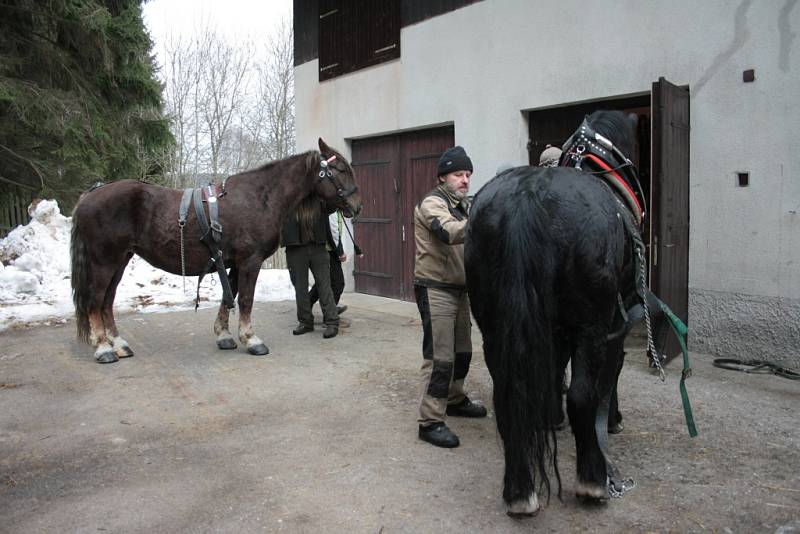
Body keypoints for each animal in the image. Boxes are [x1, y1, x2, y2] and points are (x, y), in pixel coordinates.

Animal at [72, 139, 362, 364]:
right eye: (338, 169)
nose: (357, 206)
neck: (260, 198)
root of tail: (90, 195)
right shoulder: (250, 261)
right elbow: (245, 299)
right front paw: (251, 339)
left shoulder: (231, 262)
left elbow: (228, 295)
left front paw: (224, 336)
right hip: (104, 261)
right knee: (95, 301)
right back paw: (103, 349)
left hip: (120, 260)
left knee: (107, 301)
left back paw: (119, 344)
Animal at [466, 111, 648, 516]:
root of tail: (527, 196)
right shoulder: (614, 327)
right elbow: (607, 380)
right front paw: (612, 420)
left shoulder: (553, 329)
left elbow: (550, 373)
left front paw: (550, 416)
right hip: (592, 327)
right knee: (582, 396)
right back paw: (593, 481)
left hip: (494, 328)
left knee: (507, 396)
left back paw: (520, 492)